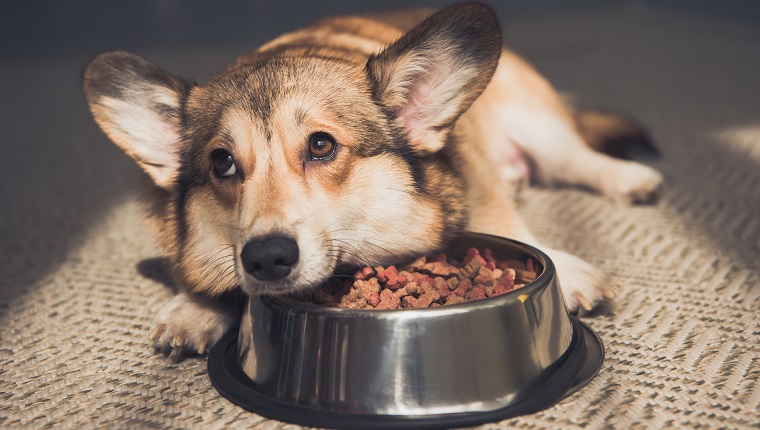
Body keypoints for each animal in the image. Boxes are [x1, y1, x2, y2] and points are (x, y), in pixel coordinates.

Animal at [86, 2, 664, 356]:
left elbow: (508, 224)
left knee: (577, 157)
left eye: (321, 145)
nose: (267, 258)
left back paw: (630, 178)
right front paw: (196, 310)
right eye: (223, 163)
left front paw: (569, 271)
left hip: (537, 122)